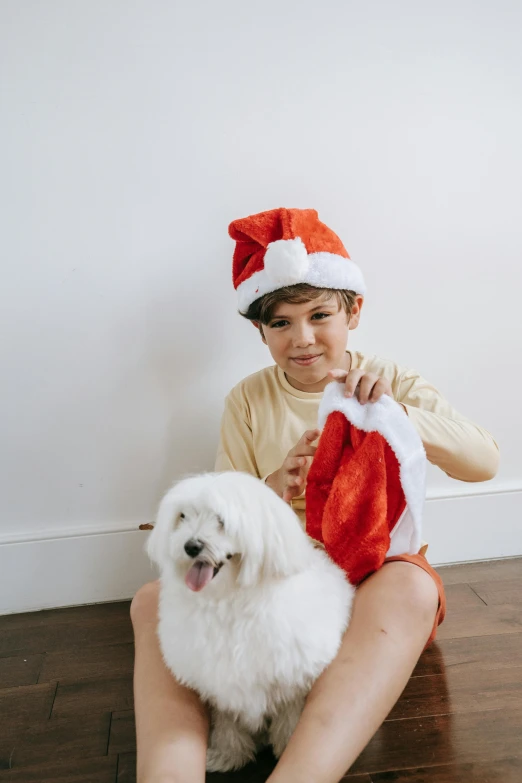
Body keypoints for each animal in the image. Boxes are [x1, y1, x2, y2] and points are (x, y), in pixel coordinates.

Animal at [144, 472, 352, 772]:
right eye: (182, 516)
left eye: (222, 521)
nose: (191, 546)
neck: (229, 599)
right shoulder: (219, 683)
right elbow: (227, 721)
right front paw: (228, 754)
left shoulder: (291, 678)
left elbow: (290, 720)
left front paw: (287, 749)